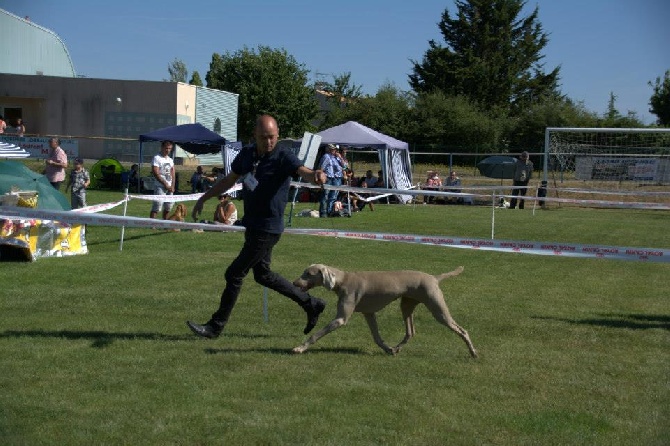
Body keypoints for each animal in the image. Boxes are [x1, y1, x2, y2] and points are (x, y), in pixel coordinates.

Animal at [294, 264, 478, 358]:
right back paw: (396, 348)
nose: (294, 283)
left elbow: (316, 334)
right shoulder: (369, 314)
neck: (343, 280)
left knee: (462, 330)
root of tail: (434, 277)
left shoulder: (341, 319)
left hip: (438, 310)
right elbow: (377, 337)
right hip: (406, 305)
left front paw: (300, 348)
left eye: (308, 273)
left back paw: (473, 352)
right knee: (410, 332)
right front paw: (388, 349)